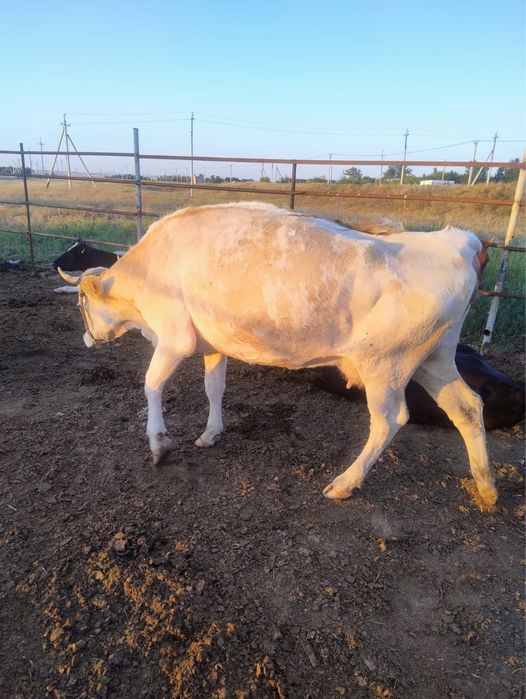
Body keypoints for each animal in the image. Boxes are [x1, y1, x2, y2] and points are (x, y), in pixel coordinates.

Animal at [57, 202, 497, 507]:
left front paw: (159, 444)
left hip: (385, 364)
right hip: (435, 356)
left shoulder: (174, 337)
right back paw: (486, 486)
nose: (86, 338)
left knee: (391, 420)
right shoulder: (213, 344)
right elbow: (213, 388)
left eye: (81, 301)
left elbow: (151, 385)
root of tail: (453, 241)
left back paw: (345, 483)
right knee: (467, 407)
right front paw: (211, 433)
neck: (150, 269)